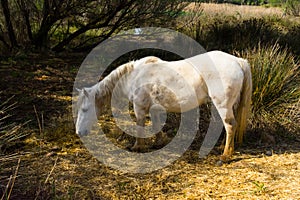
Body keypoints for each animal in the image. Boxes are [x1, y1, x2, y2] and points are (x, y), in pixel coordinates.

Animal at [74, 50, 251, 162]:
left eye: (85, 109)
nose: (78, 132)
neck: (134, 75)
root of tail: (238, 61)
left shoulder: (139, 107)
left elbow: (140, 126)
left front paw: (137, 147)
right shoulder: (154, 109)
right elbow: (157, 126)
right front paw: (158, 143)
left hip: (223, 105)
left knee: (230, 125)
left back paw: (225, 156)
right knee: (231, 126)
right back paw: (226, 148)